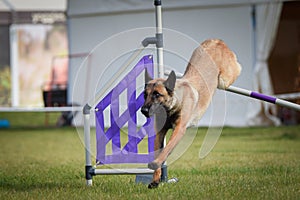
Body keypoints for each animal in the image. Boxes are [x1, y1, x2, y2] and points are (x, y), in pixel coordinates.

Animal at [141, 38, 241, 188]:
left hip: (224, 80)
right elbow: (158, 150)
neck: (173, 106)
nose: (143, 110)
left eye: (157, 94)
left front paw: (156, 163)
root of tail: (217, 41)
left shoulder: (179, 129)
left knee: (236, 69)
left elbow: (166, 149)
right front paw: (155, 180)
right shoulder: (160, 132)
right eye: (145, 95)